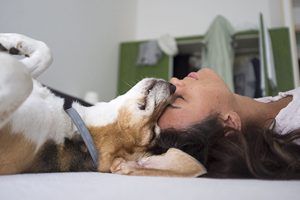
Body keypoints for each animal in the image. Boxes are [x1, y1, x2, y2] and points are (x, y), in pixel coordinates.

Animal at [0, 33, 206, 177]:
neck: (75, 125)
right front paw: (8, 41)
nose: (173, 87)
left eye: (153, 133)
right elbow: (46, 53)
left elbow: (22, 76)